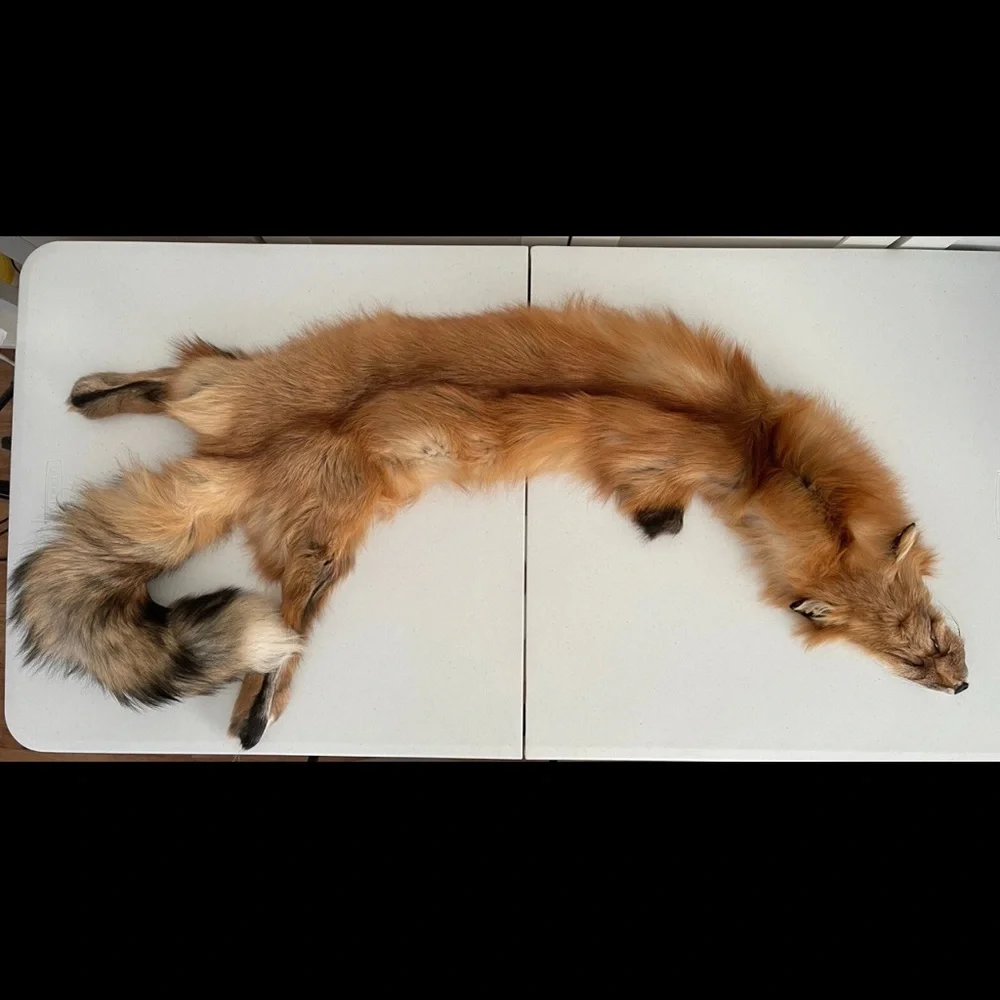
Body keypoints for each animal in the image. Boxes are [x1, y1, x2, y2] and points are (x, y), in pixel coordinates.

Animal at [9, 299, 968, 750]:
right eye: (916, 654)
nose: (962, 691)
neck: (768, 455)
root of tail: (259, 451)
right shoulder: (671, 447)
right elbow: (655, 496)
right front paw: (664, 525)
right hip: (321, 553)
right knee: (276, 639)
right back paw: (254, 722)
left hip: (243, 421)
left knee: (181, 378)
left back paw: (91, 395)